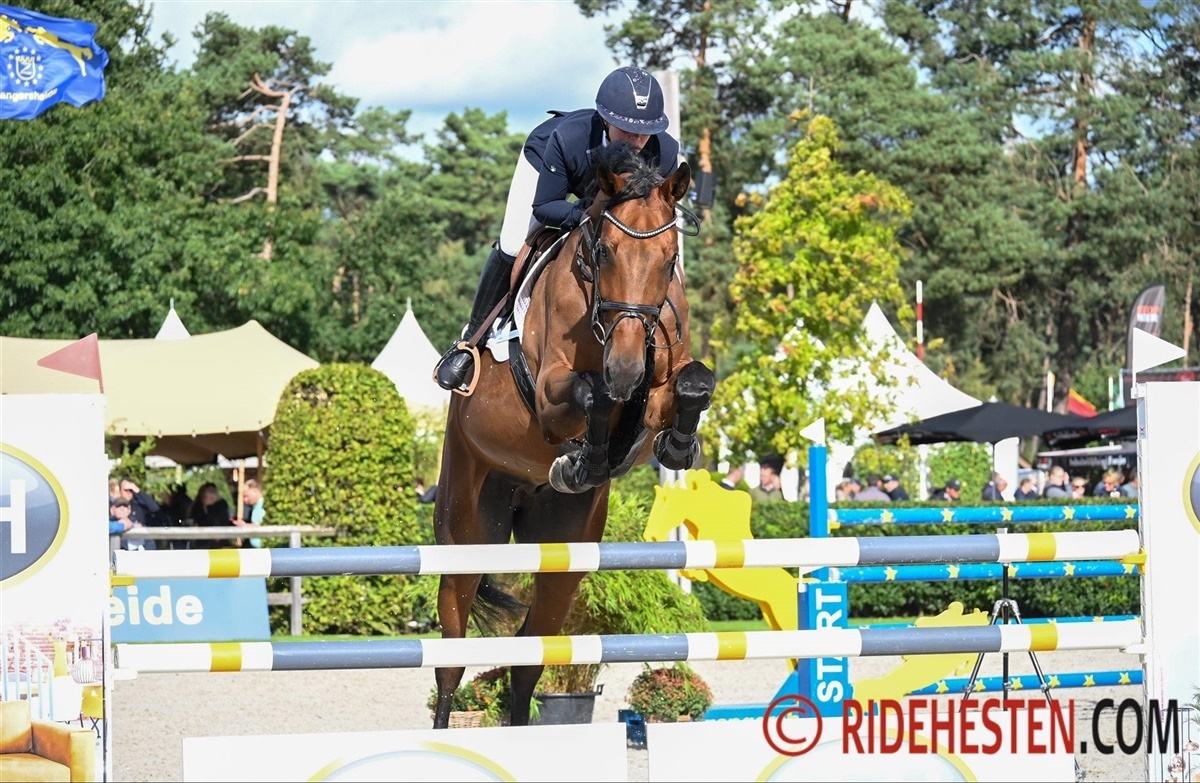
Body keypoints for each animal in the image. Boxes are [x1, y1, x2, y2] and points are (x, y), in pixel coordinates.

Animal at [431, 141, 716, 729]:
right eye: (604, 252)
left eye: (670, 256)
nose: (627, 367)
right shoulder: (548, 394)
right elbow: (592, 394)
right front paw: (584, 458)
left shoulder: (660, 383)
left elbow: (692, 383)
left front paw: (677, 445)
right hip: (466, 531)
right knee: (450, 660)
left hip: (563, 559)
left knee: (528, 659)